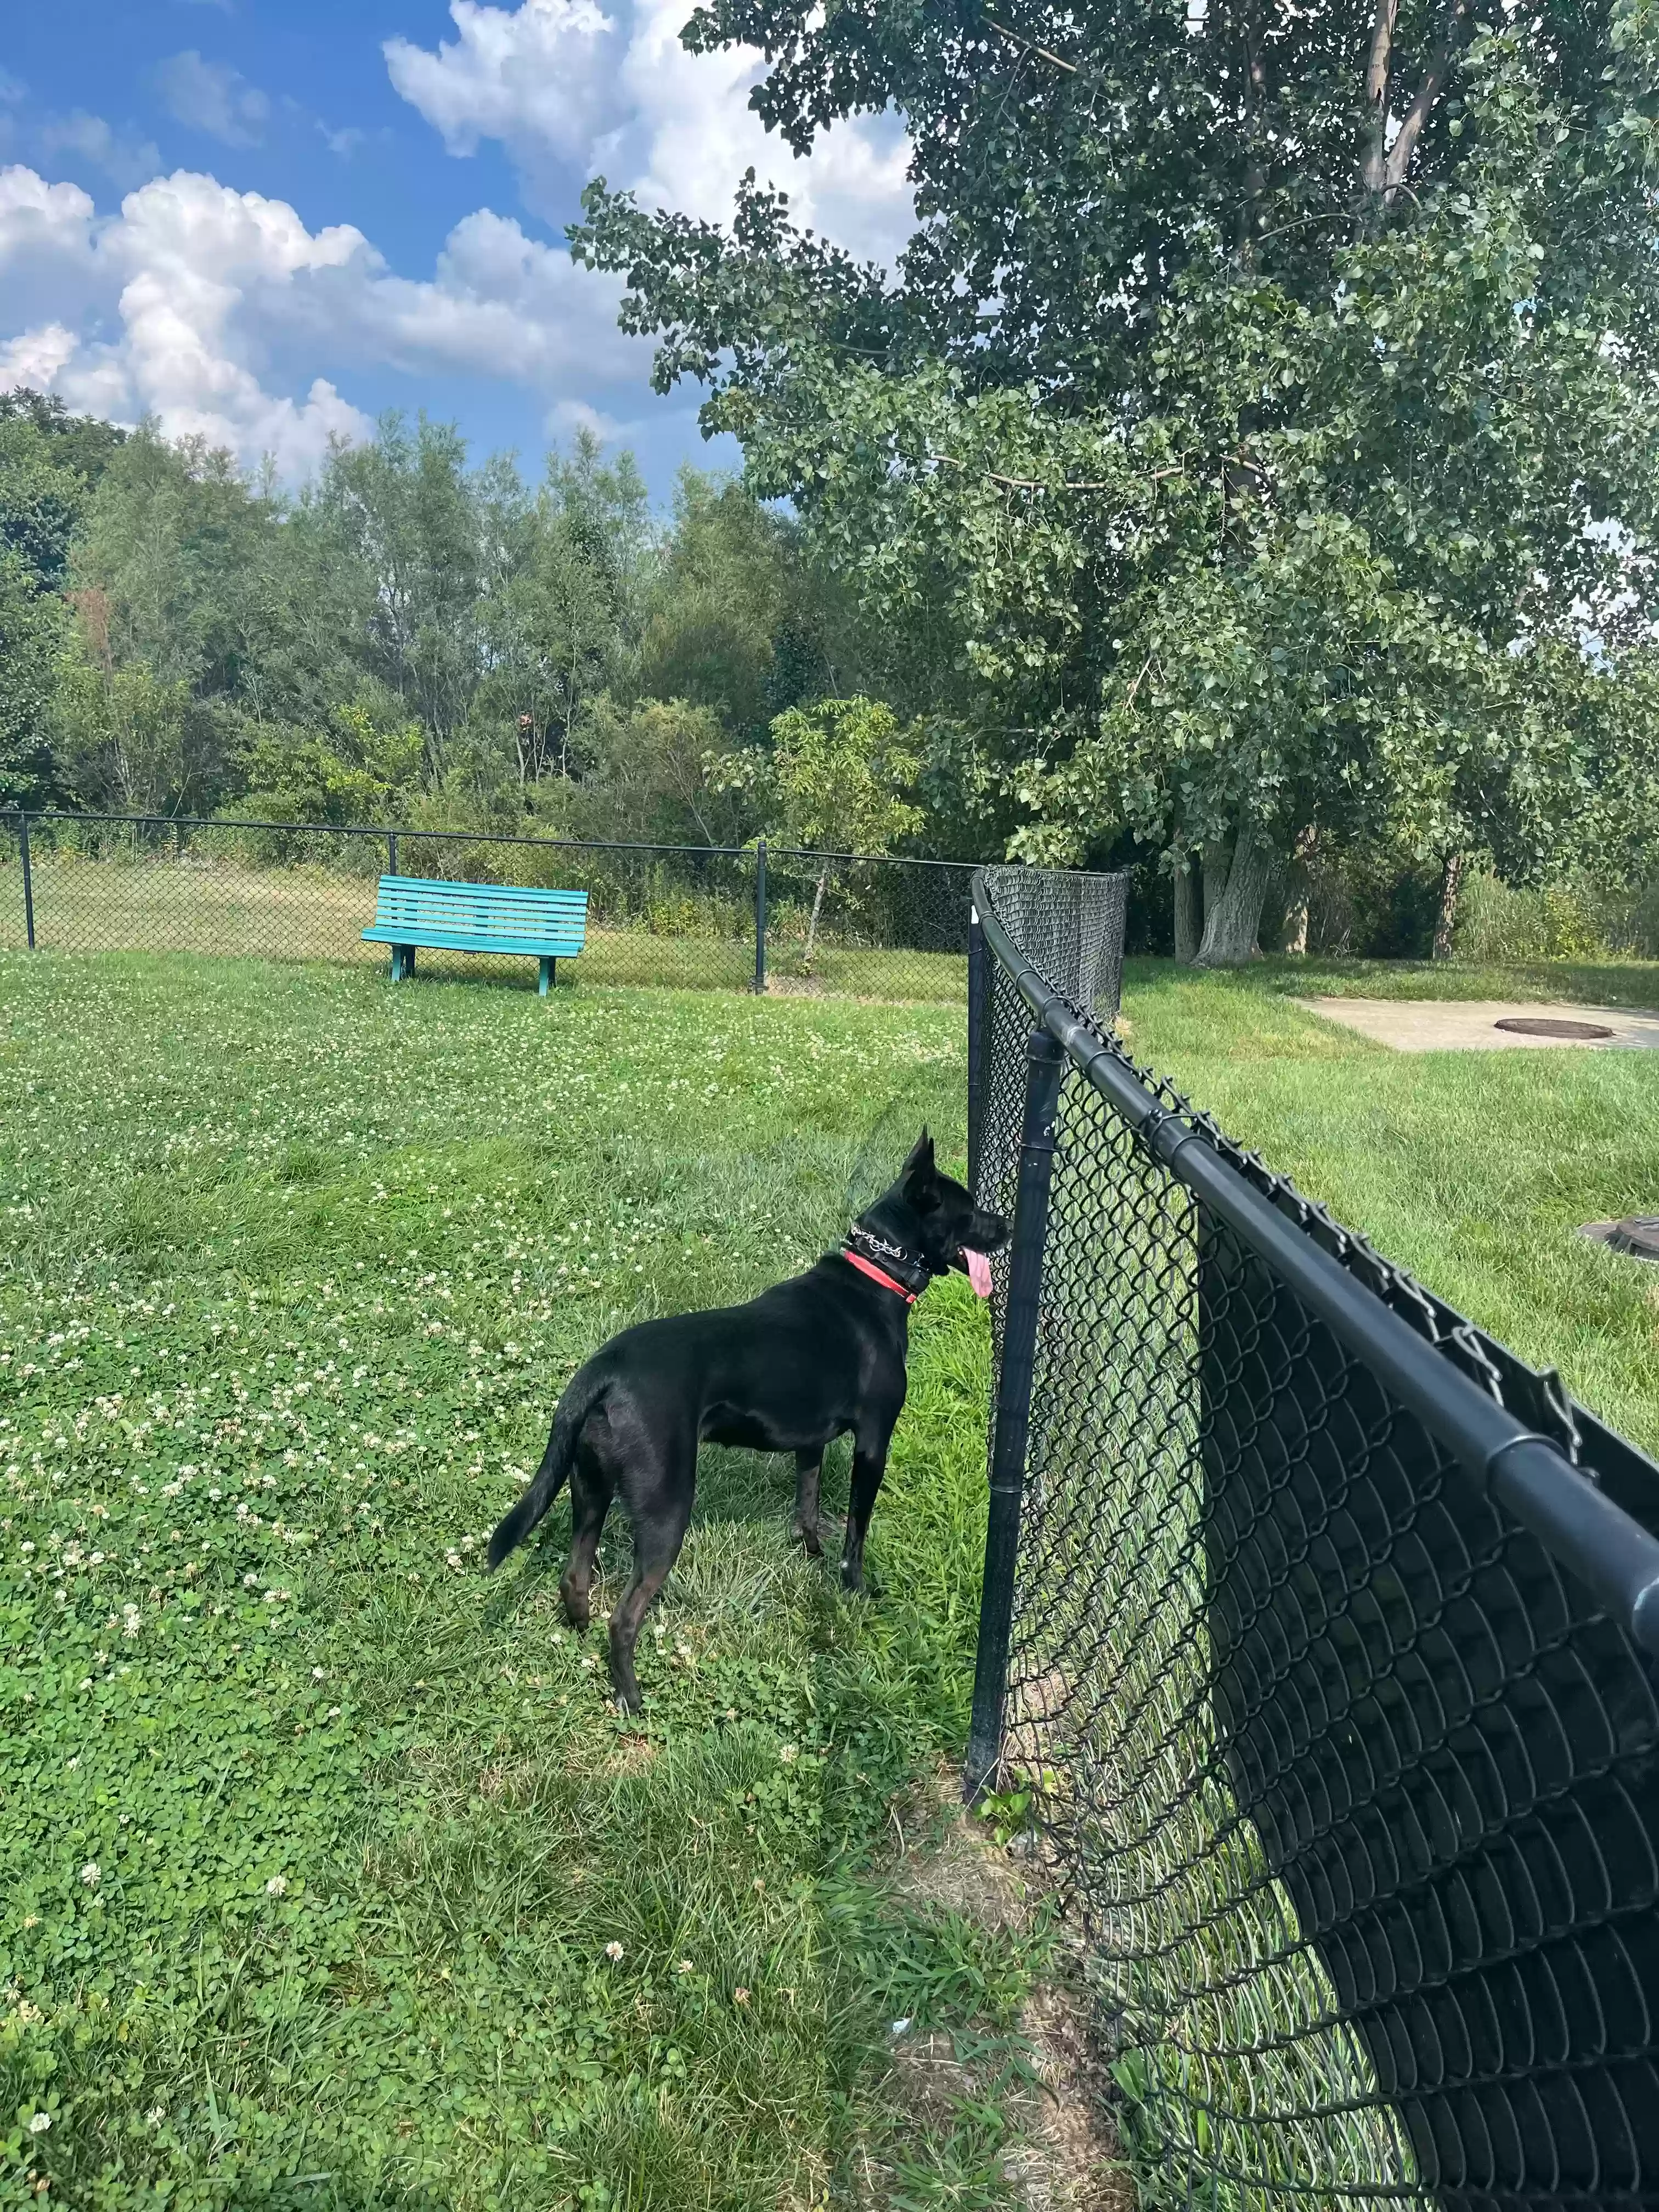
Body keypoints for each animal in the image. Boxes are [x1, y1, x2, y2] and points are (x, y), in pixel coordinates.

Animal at [487, 1141, 1008, 1707]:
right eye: (969, 1211)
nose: (1006, 1226)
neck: (876, 1277)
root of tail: (604, 1368)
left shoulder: (811, 1444)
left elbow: (808, 1506)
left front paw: (811, 1555)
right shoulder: (874, 1443)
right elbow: (856, 1532)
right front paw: (855, 1590)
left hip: (590, 1489)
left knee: (574, 1577)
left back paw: (581, 1637)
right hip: (666, 1507)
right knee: (623, 1619)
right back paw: (632, 1697)